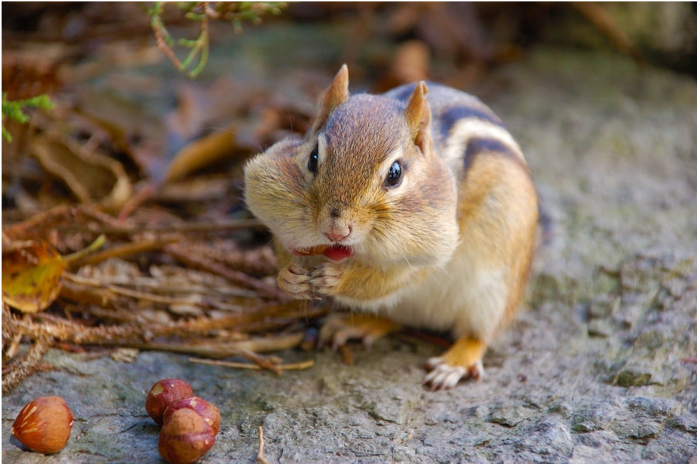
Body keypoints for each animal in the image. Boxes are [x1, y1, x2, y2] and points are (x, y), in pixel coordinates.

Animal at [244, 65, 538, 390]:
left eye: (395, 174)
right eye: (313, 157)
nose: (336, 230)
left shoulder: (431, 249)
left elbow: (386, 279)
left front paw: (337, 278)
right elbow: (284, 246)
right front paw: (288, 278)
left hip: (494, 293)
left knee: (478, 335)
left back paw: (454, 363)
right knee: (394, 319)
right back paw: (353, 325)